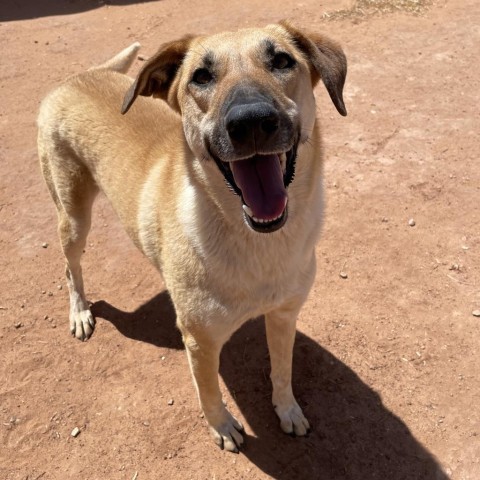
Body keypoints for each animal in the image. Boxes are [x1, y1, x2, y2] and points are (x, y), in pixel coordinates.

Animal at [36, 21, 344, 450]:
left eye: (282, 61)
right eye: (201, 76)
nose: (250, 121)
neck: (258, 244)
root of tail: (81, 75)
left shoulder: (285, 315)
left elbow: (282, 371)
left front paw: (288, 410)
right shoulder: (200, 340)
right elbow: (209, 391)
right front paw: (223, 427)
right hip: (74, 217)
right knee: (70, 268)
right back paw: (80, 312)